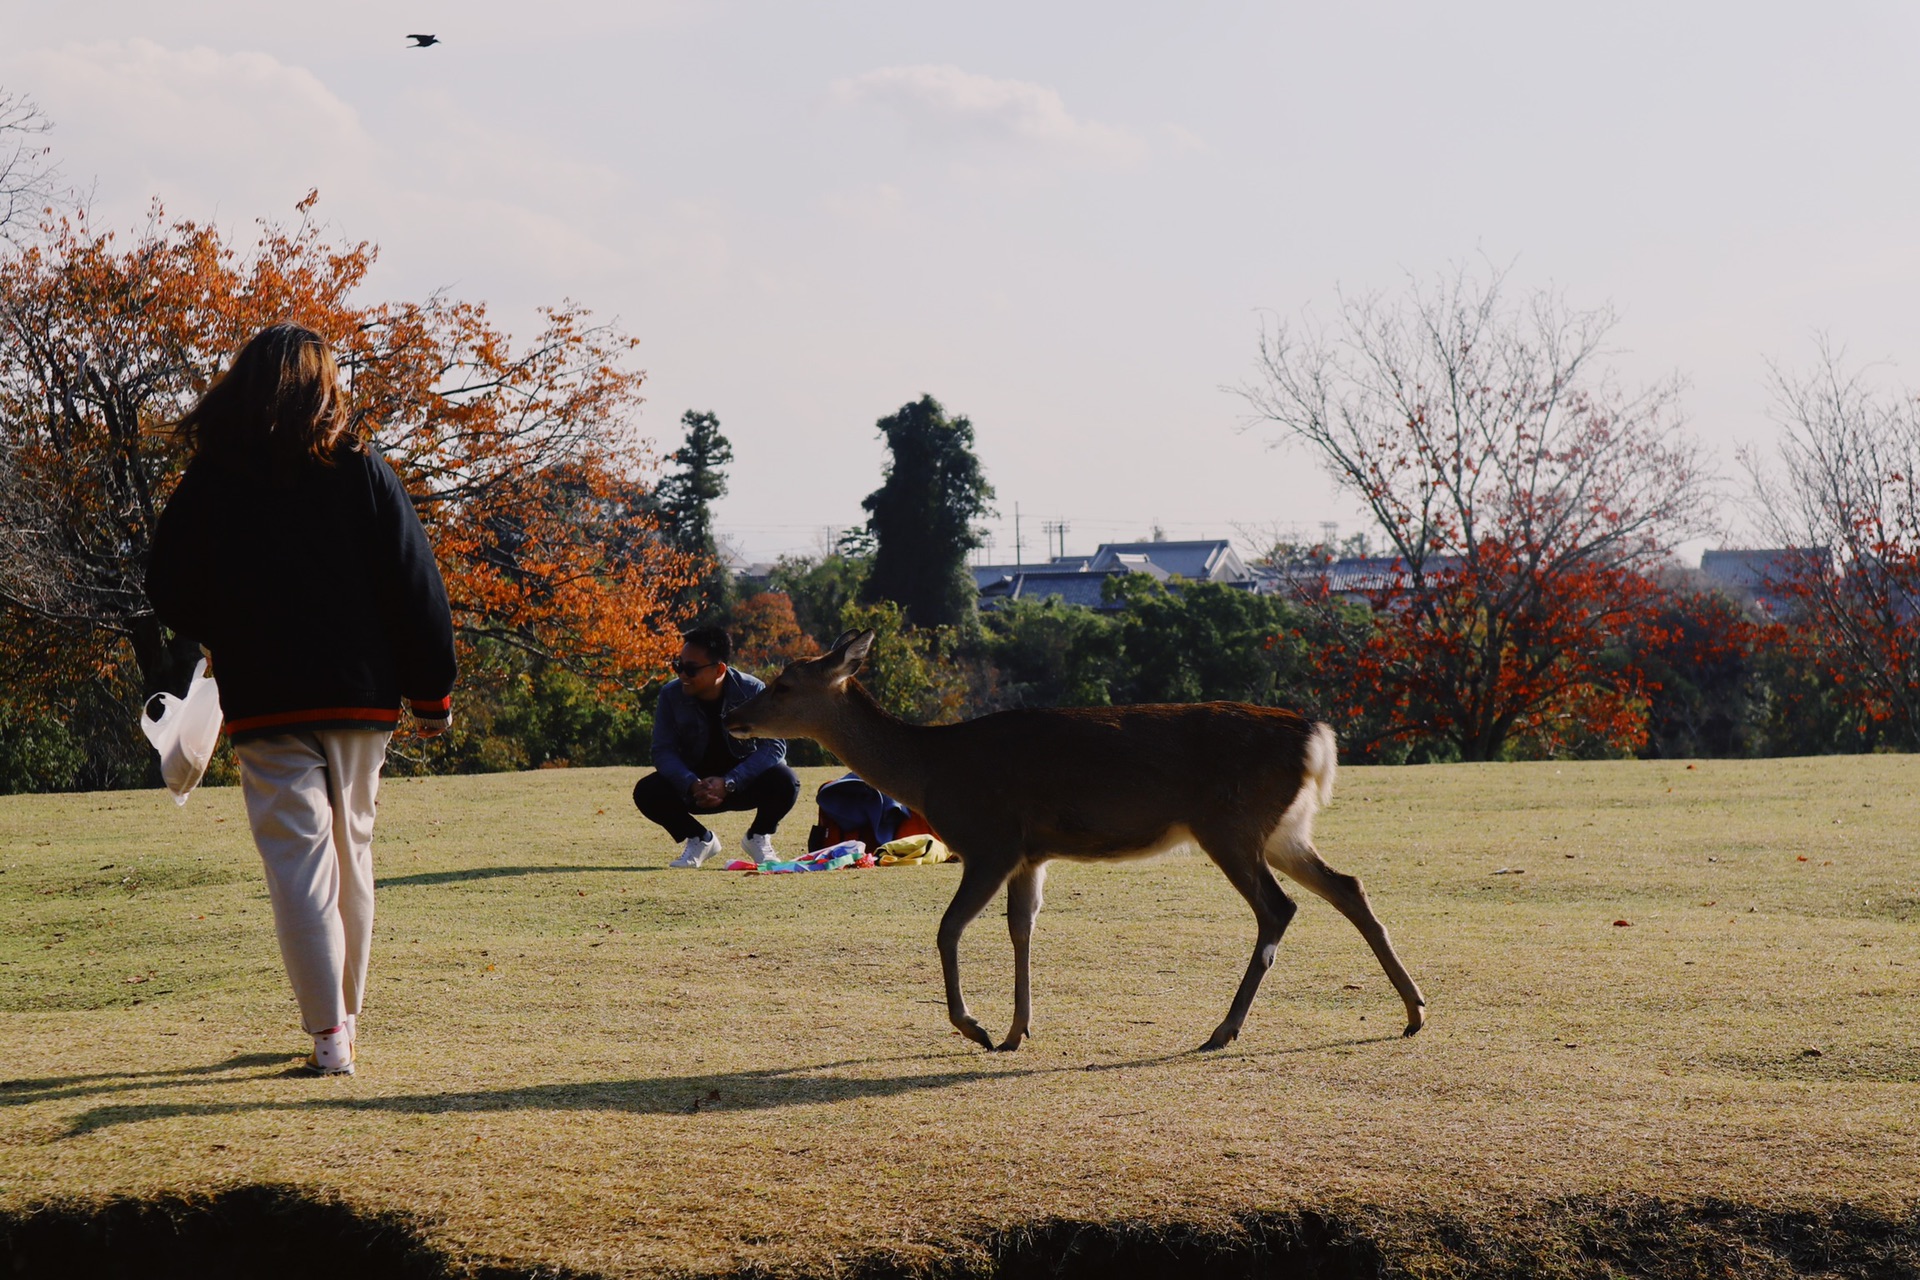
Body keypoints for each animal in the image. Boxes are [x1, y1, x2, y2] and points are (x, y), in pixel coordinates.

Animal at [721, 629, 1428, 1051]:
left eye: (783, 683)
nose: (731, 717)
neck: (928, 769)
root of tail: (1316, 738)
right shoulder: (1030, 854)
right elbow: (1021, 929)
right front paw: (1017, 1030)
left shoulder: (991, 839)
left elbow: (948, 929)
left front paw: (976, 1028)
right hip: (1280, 828)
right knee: (1349, 886)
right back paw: (1415, 1012)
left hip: (1228, 823)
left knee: (1279, 907)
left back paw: (1222, 1029)